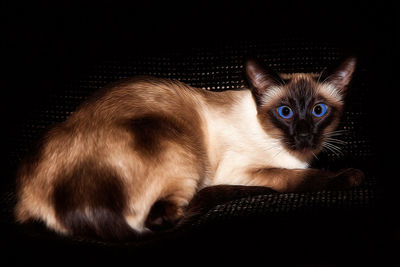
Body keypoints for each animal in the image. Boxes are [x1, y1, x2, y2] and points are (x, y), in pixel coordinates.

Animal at [14, 56, 364, 241]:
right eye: (285, 112)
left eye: (318, 111)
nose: (304, 135)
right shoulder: (245, 171)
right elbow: (301, 178)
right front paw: (350, 176)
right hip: (185, 154)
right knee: (163, 219)